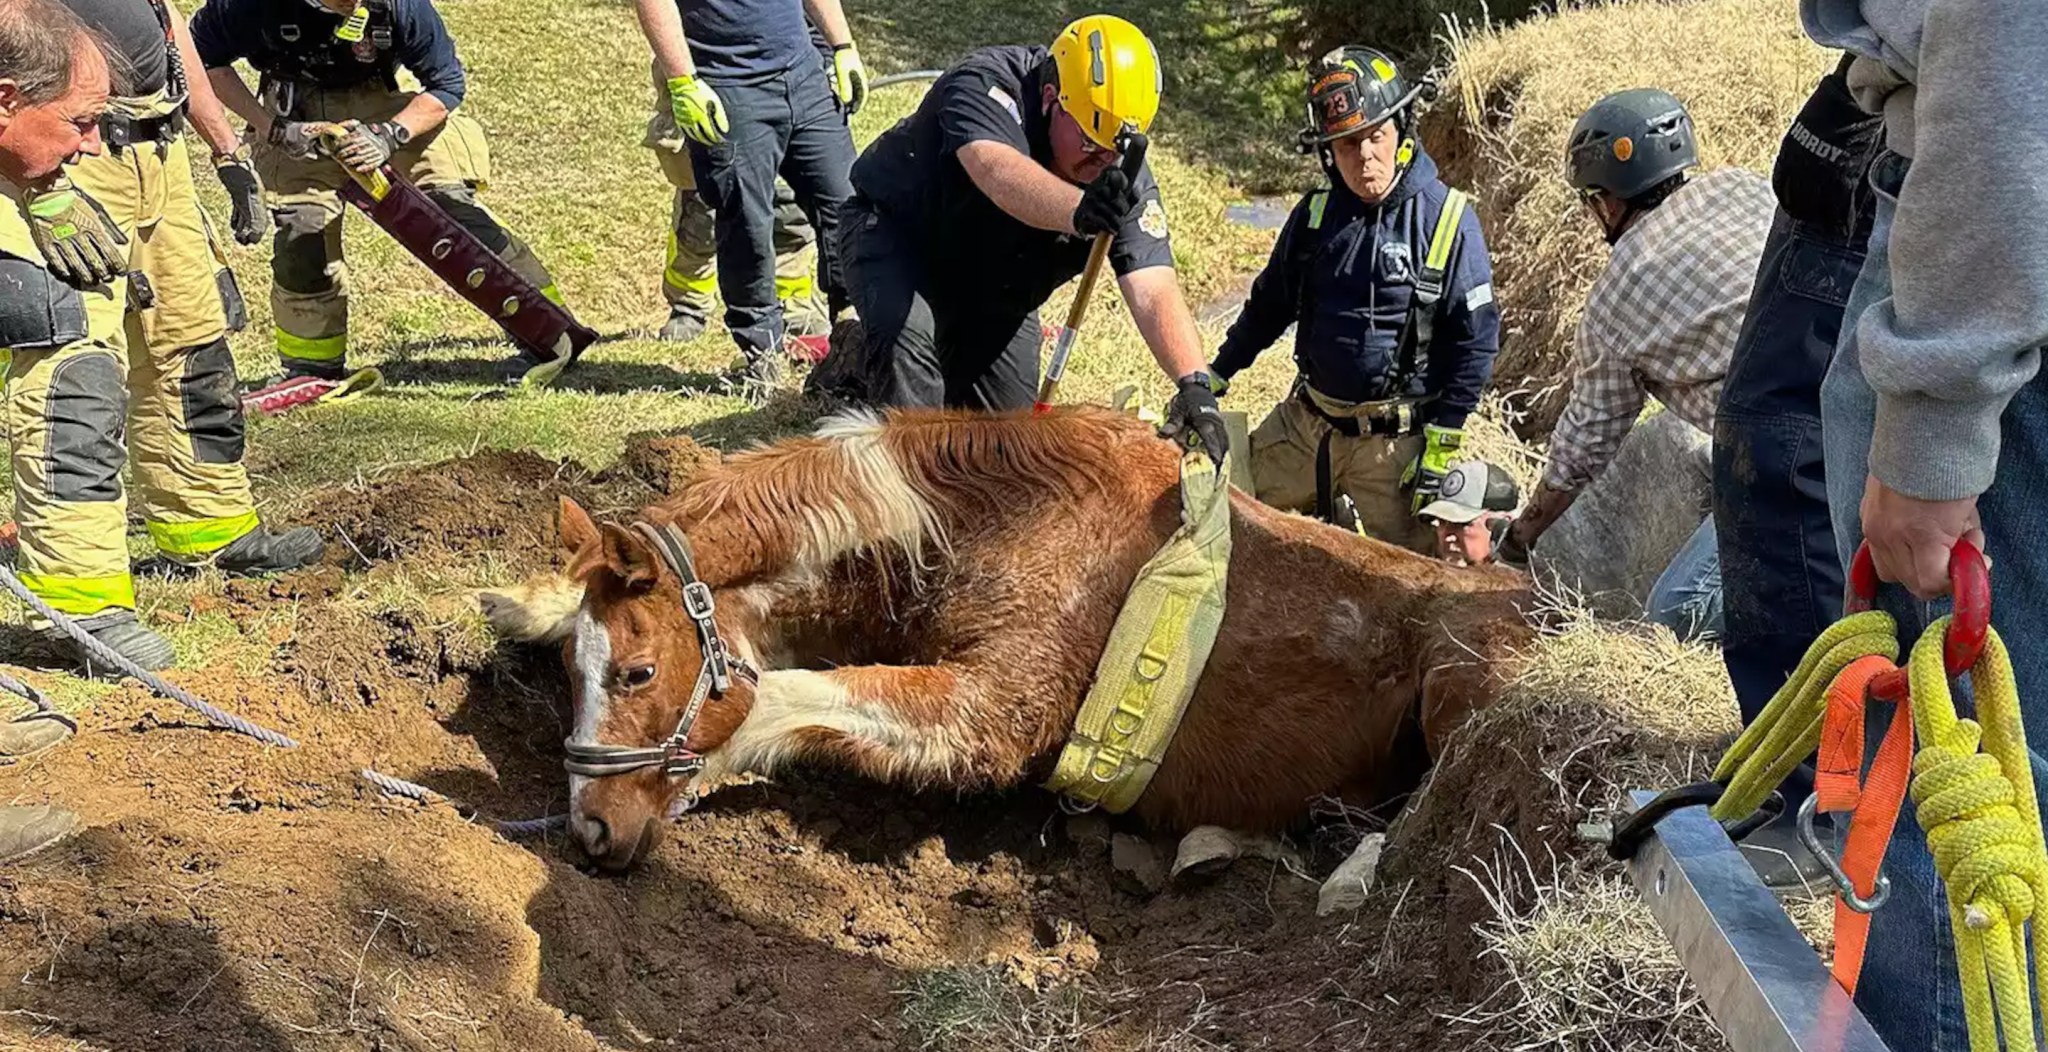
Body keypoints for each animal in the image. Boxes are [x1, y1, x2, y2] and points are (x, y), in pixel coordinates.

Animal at [483, 406, 1534, 871]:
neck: (981, 521)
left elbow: (778, 696)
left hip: (1463, 679)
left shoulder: (995, 715)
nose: (589, 830)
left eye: (637, 671)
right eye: (576, 674)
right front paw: (528, 603)